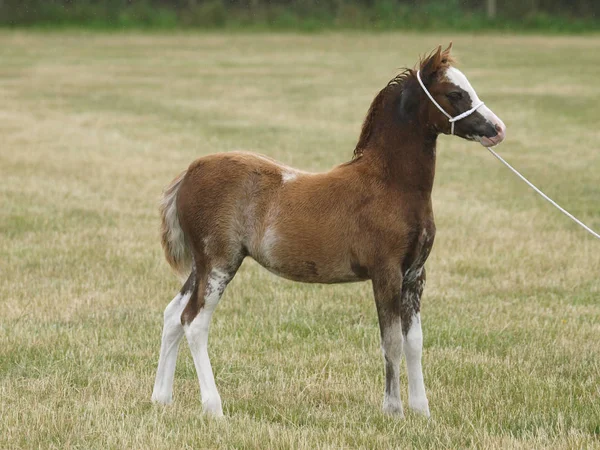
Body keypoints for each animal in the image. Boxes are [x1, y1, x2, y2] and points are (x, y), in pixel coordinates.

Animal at [151, 44, 506, 418]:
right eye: (455, 93)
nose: (497, 129)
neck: (390, 185)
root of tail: (189, 172)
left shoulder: (414, 275)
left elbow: (415, 343)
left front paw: (422, 412)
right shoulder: (386, 273)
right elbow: (391, 342)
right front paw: (393, 411)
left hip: (201, 265)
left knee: (173, 315)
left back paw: (161, 397)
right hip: (220, 262)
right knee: (194, 321)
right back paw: (213, 407)